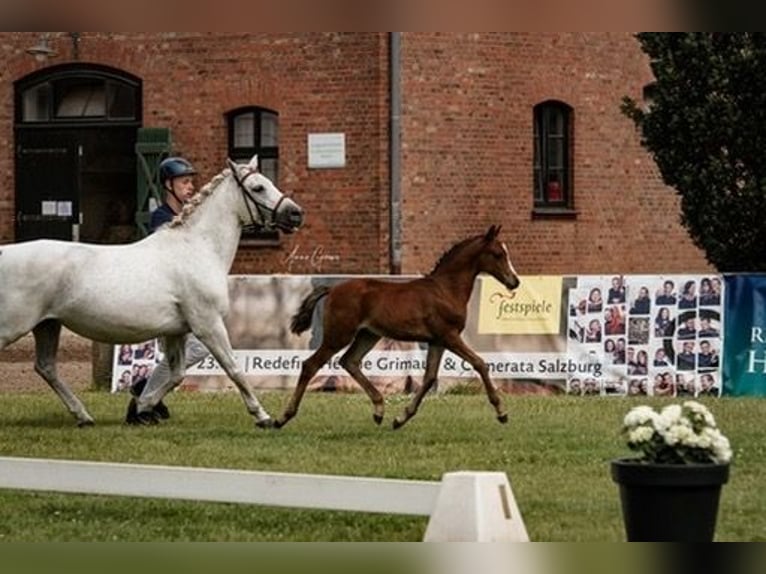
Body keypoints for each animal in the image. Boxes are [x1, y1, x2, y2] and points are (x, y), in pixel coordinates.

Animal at [0, 155, 306, 430]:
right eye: (258, 188)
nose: (296, 213)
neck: (197, 248)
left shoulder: (176, 331)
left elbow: (176, 374)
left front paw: (142, 408)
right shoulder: (208, 324)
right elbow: (233, 368)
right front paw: (264, 417)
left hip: (48, 325)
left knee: (46, 367)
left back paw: (84, 416)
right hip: (14, 327)